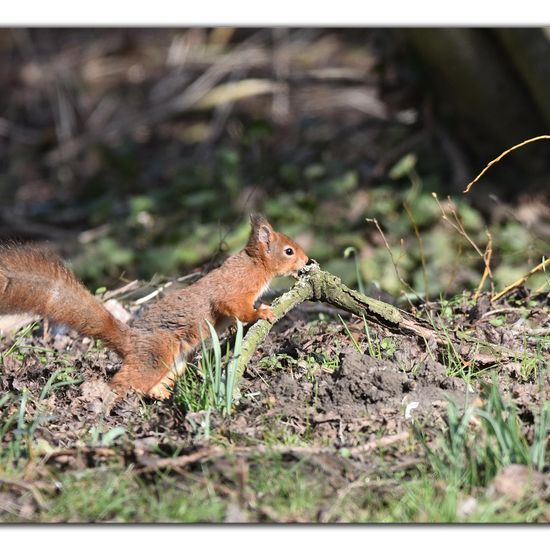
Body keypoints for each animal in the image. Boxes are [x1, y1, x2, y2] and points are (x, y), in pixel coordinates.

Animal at [0, 216, 310, 402]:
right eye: (289, 251)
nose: (308, 261)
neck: (256, 266)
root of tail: (130, 342)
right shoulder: (235, 289)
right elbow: (234, 306)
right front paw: (262, 312)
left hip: (176, 362)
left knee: (152, 385)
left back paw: (164, 396)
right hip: (157, 355)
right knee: (126, 381)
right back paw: (109, 399)